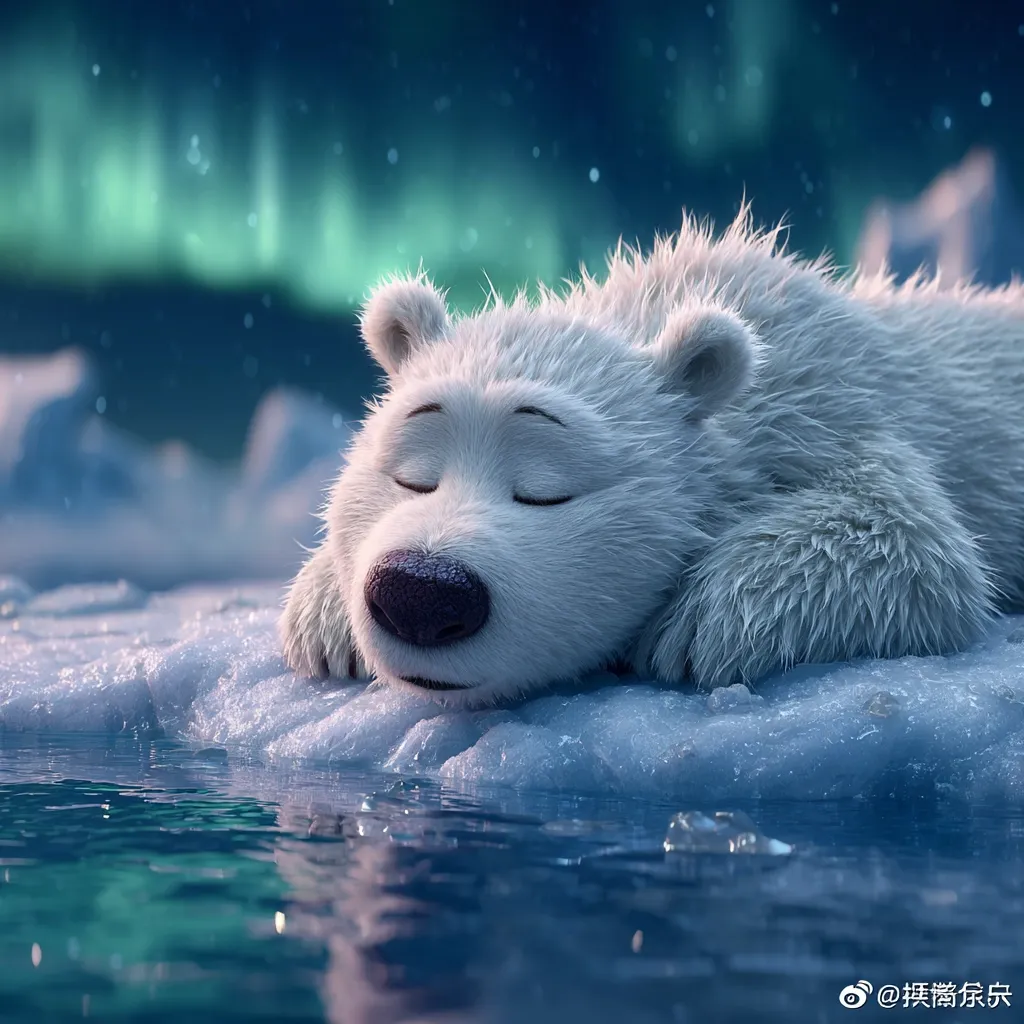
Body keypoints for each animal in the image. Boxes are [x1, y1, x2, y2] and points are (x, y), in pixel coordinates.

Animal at [280, 202, 1024, 705]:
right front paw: (323, 619)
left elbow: (917, 543)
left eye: (545, 490)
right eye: (411, 477)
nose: (421, 592)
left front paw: (693, 625)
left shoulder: (842, 403)